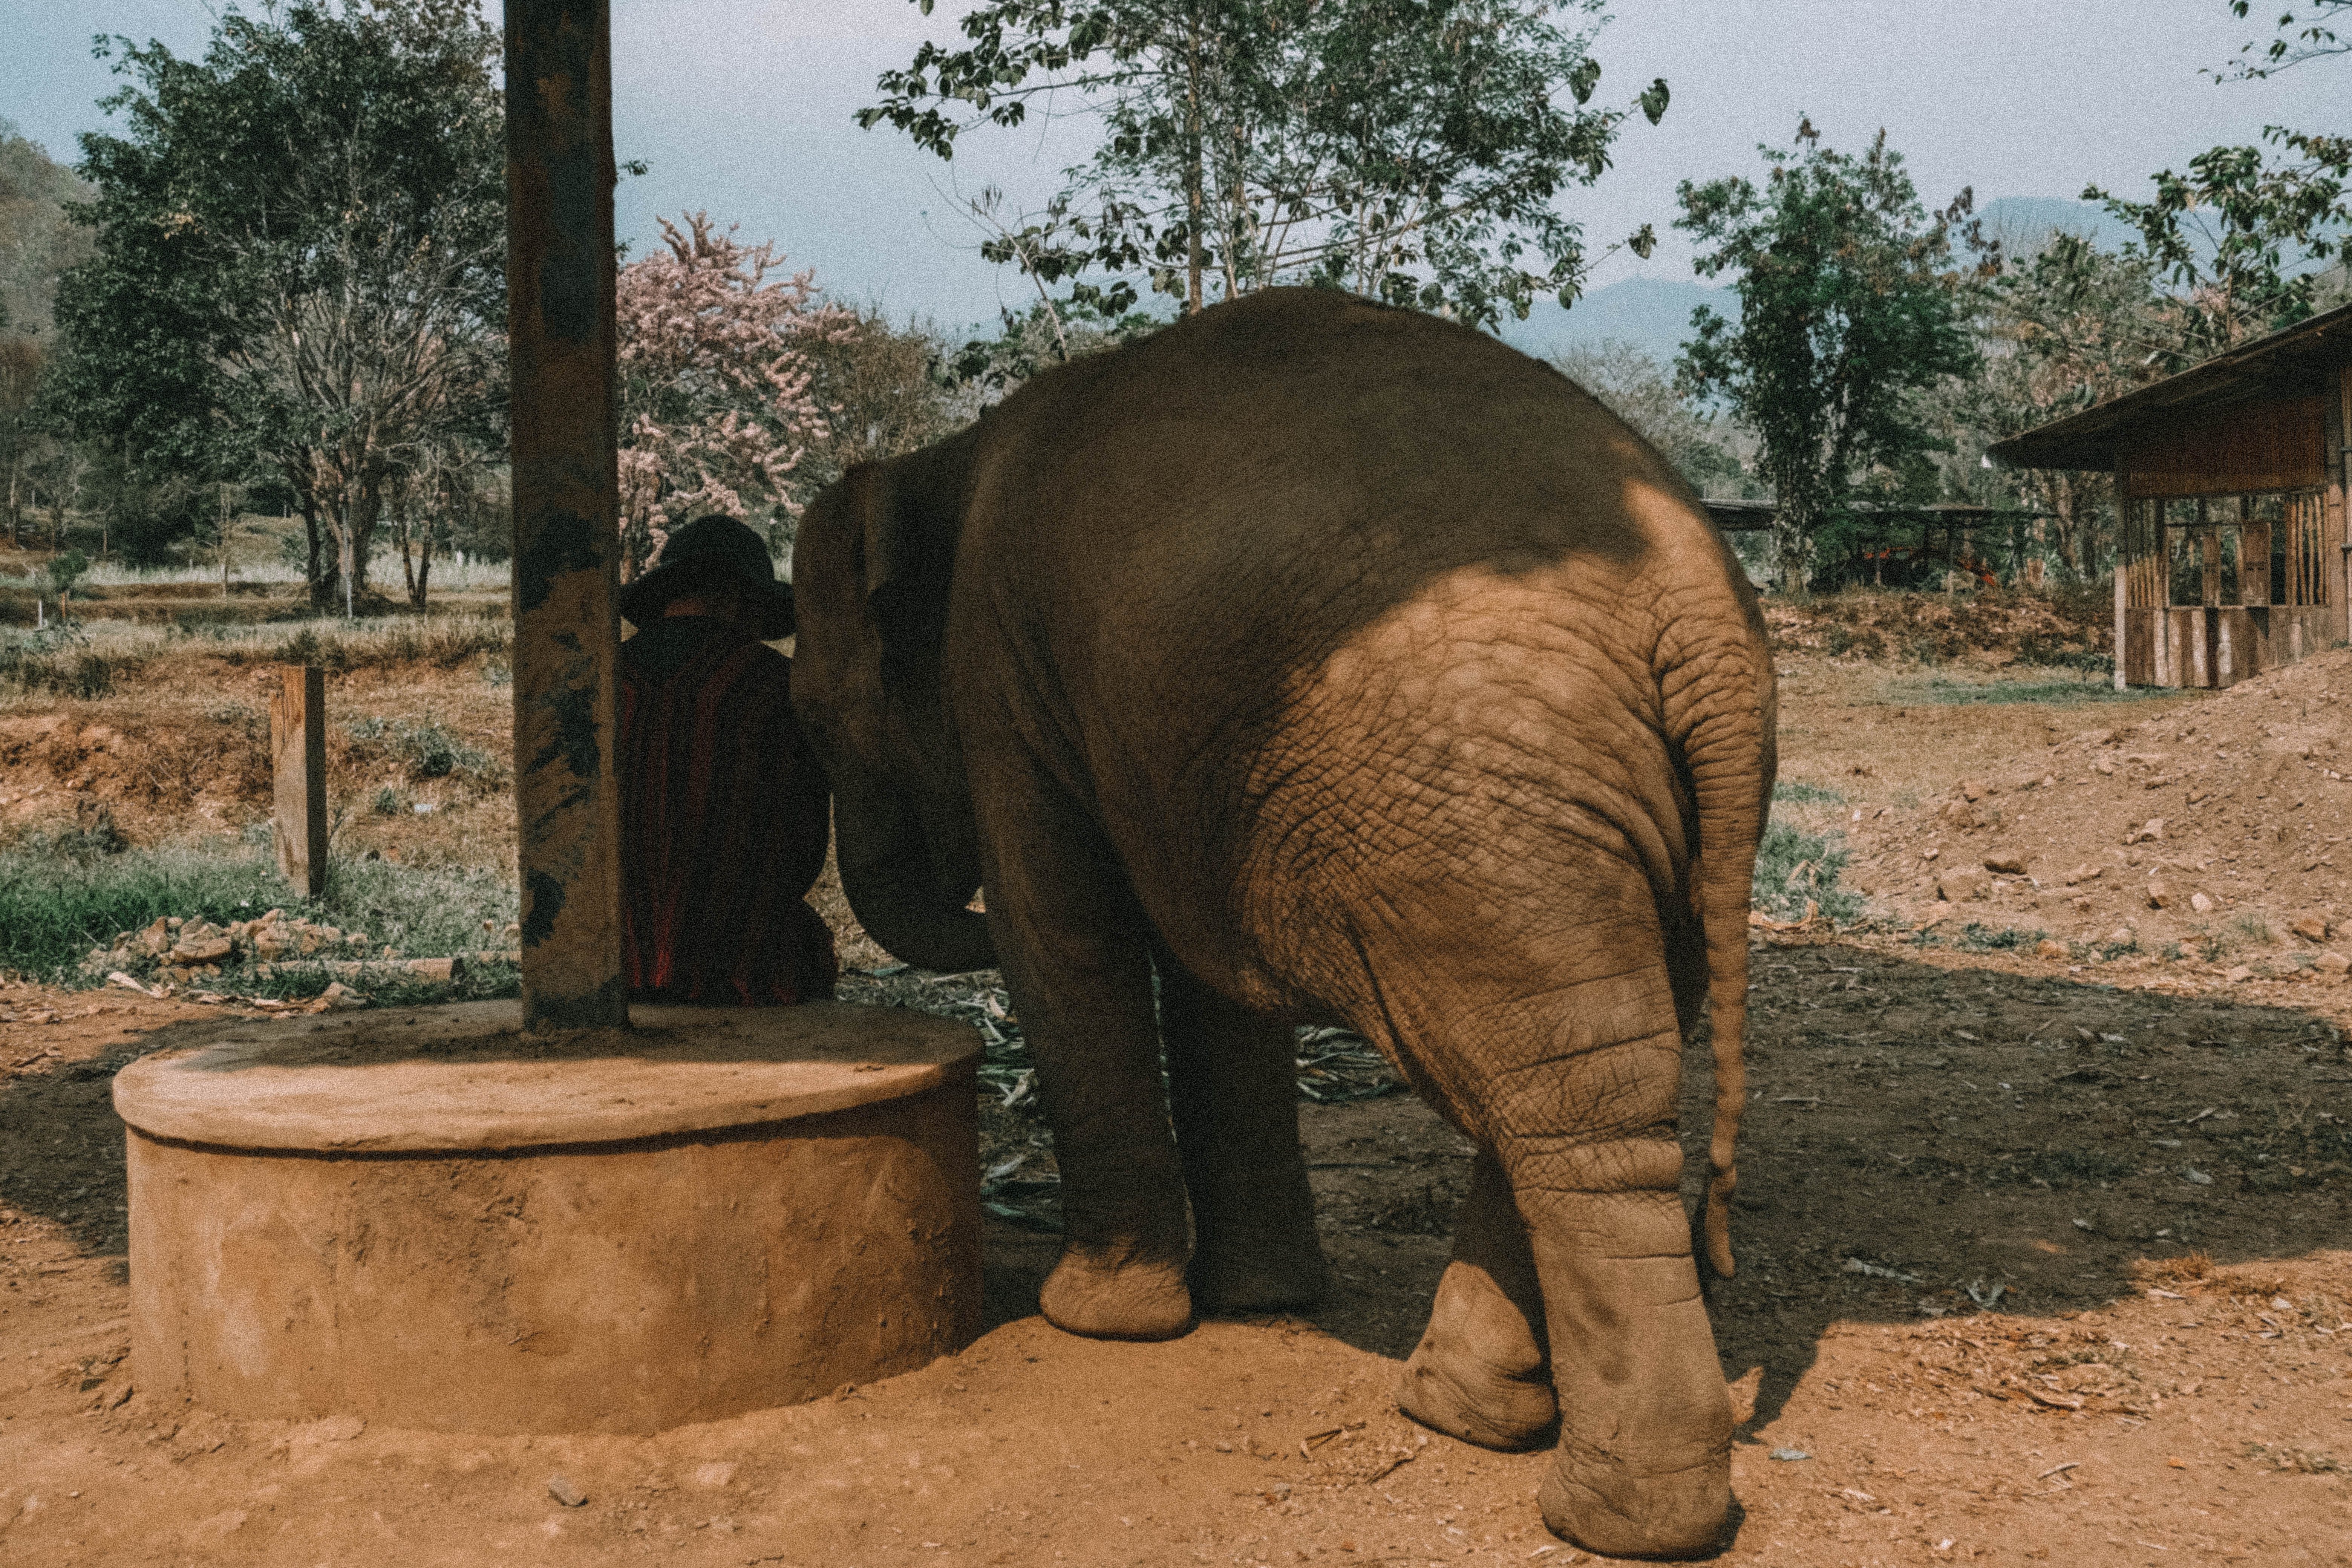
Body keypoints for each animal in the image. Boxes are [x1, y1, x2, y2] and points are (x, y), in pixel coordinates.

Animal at [786, 285, 1769, 1561]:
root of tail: (1703, 628)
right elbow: (1210, 983)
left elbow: (1065, 934)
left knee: (1560, 1097)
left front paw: (1097, 1320)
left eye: (810, 717)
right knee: (1589, 1082)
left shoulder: (1004, 675)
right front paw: (1258, 1303)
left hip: (1486, 821)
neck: (942, 461)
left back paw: (1607, 1514)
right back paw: (1466, 1417)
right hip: (1634, 831)